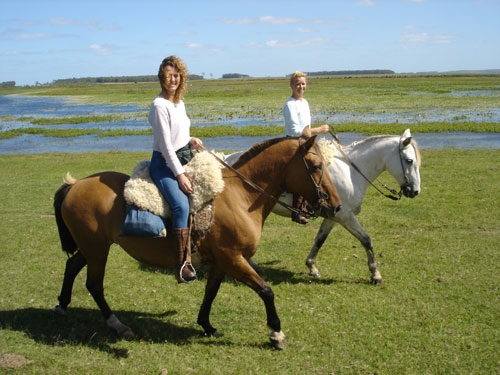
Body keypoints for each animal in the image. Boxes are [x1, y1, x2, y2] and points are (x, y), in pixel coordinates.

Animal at [51, 134, 340, 350]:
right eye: (316, 166)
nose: (336, 205)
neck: (240, 197)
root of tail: (75, 185)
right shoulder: (233, 259)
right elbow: (265, 290)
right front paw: (276, 334)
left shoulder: (223, 262)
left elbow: (211, 292)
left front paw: (206, 325)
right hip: (97, 250)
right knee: (94, 284)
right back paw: (117, 325)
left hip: (92, 248)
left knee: (72, 266)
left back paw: (62, 306)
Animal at [225, 130, 420, 284]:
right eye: (409, 160)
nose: (415, 191)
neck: (351, 172)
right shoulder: (345, 216)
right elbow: (366, 240)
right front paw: (375, 275)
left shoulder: (333, 215)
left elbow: (320, 240)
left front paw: (312, 267)